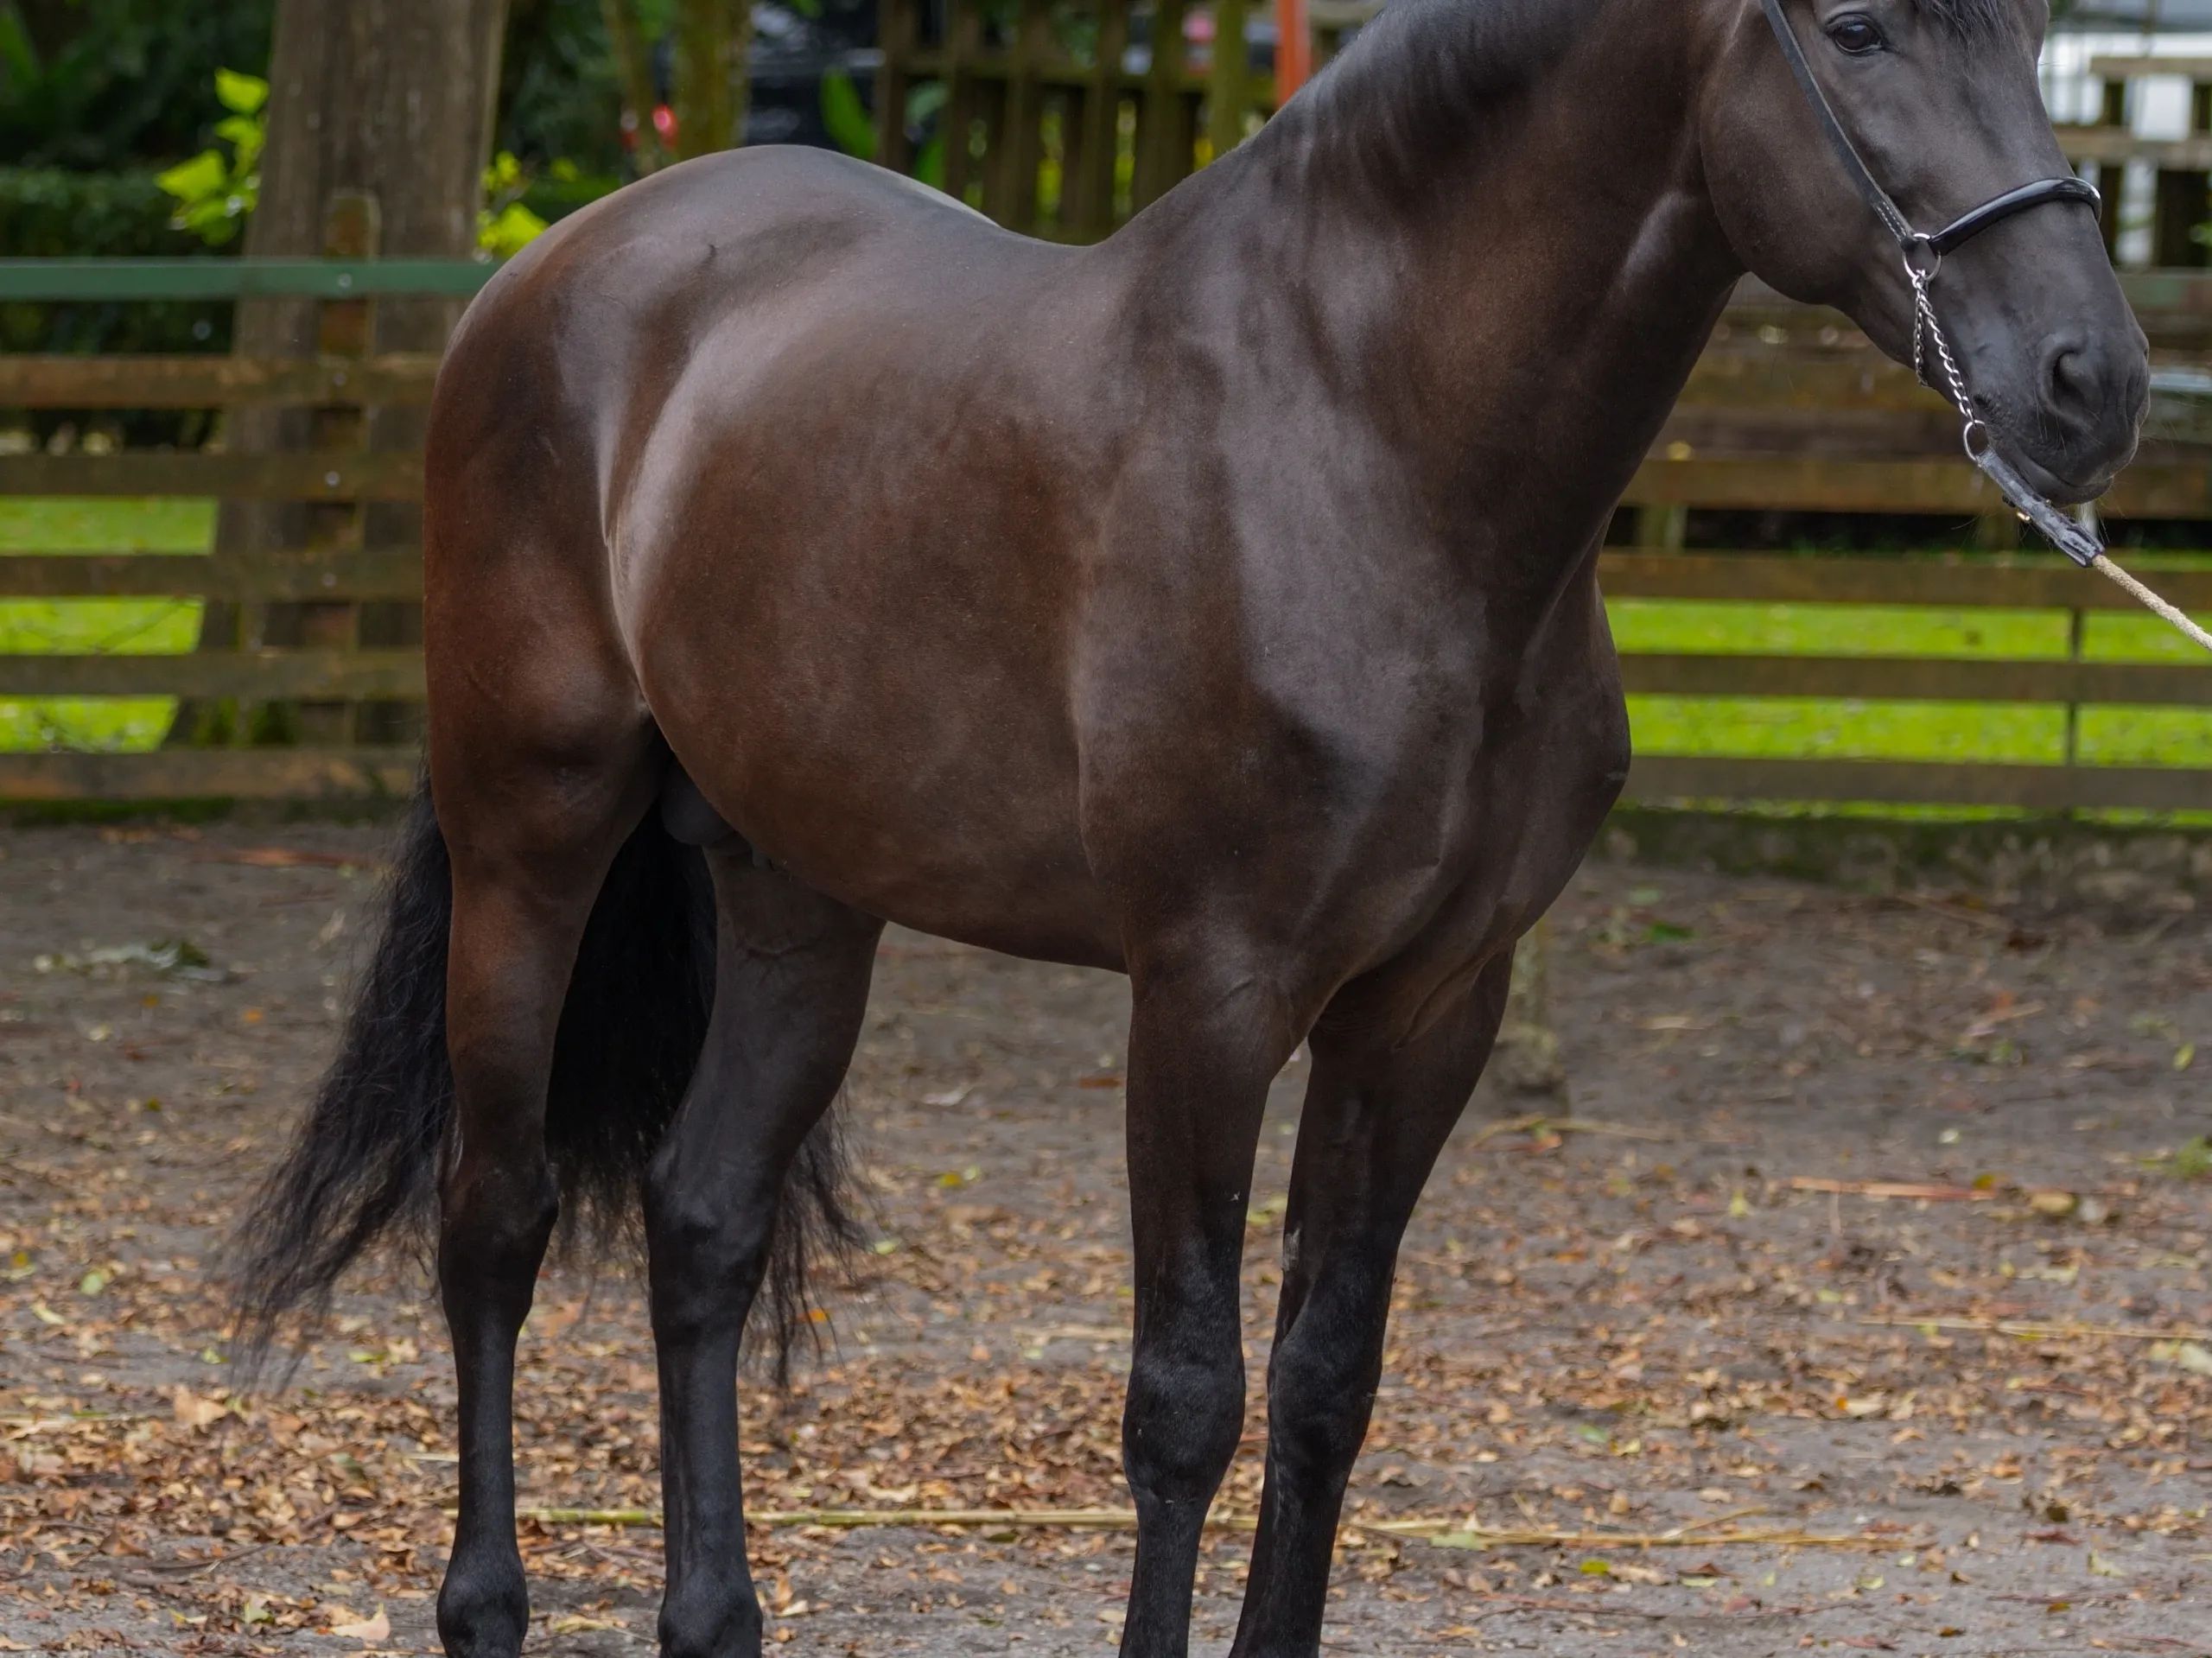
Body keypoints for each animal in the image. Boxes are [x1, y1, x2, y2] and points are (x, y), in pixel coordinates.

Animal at [231, 1, 2148, 1653]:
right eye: (1854, 29)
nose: (2094, 380)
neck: (1368, 445)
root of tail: (550, 269)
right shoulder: (1210, 994)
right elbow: (1184, 1399)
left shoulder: (1428, 1005)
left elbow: (1323, 1381)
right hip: (530, 843)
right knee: (496, 1219)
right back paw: (483, 1604)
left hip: (803, 895)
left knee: (702, 1221)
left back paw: (714, 1616)